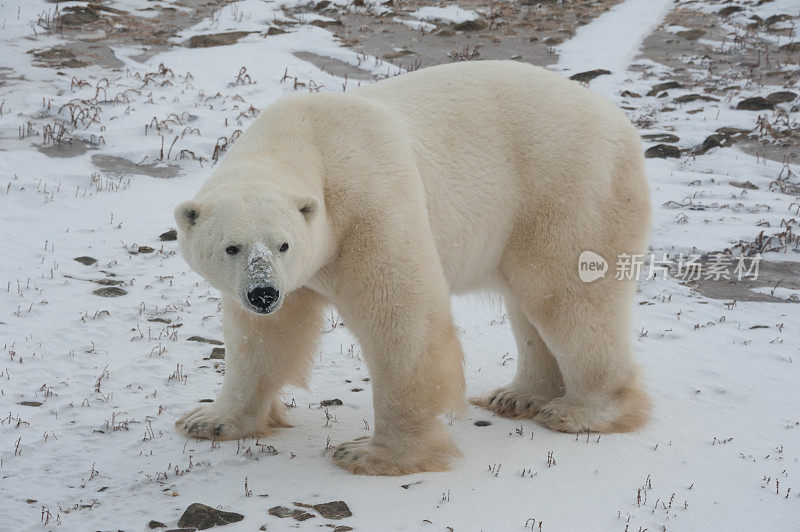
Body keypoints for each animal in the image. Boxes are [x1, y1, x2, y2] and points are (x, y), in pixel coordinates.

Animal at [175, 60, 648, 476]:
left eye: (283, 245)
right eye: (231, 248)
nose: (263, 293)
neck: (307, 137)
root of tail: (619, 122)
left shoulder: (367, 205)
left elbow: (400, 320)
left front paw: (372, 454)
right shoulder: (293, 276)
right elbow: (263, 338)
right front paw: (210, 420)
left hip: (566, 189)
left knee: (566, 297)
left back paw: (581, 411)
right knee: (528, 306)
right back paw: (519, 397)